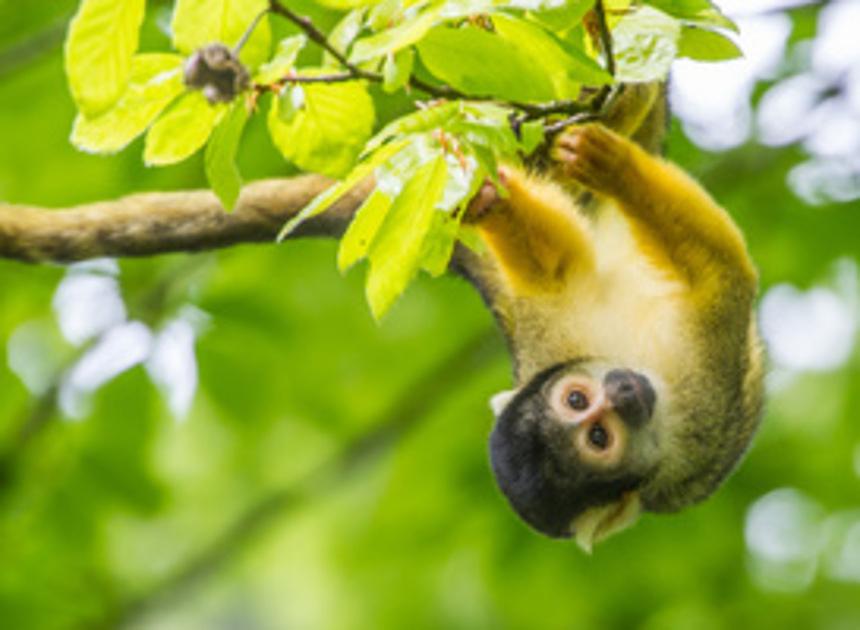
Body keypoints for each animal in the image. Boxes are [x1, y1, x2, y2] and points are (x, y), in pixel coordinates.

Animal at [460, 85, 764, 552]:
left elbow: (555, 268)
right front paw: (618, 170)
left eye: (575, 399)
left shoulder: (556, 341)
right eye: (598, 436)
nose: (622, 391)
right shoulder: (703, 406)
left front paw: (488, 202)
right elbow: (723, 271)